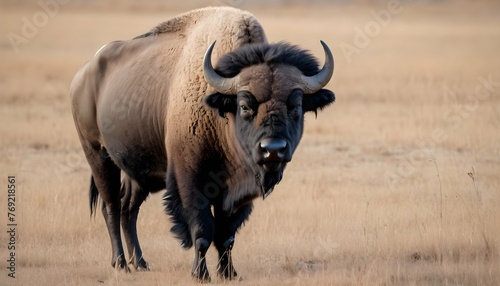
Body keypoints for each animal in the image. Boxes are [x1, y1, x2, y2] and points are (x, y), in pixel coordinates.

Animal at [70, 6, 334, 282]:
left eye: (297, 106)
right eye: (244, 105)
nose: (273, 149)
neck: (220, 112)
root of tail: (82, 75)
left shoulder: (236, 193)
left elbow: (227, 235)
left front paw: (229, 273)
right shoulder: (190, 180)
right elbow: (202, 230)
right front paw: (200, 274)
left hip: (137, 173)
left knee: (128, 209)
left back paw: (140, 263)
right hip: (98, 155)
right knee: (111, 206)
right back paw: (120, 263)